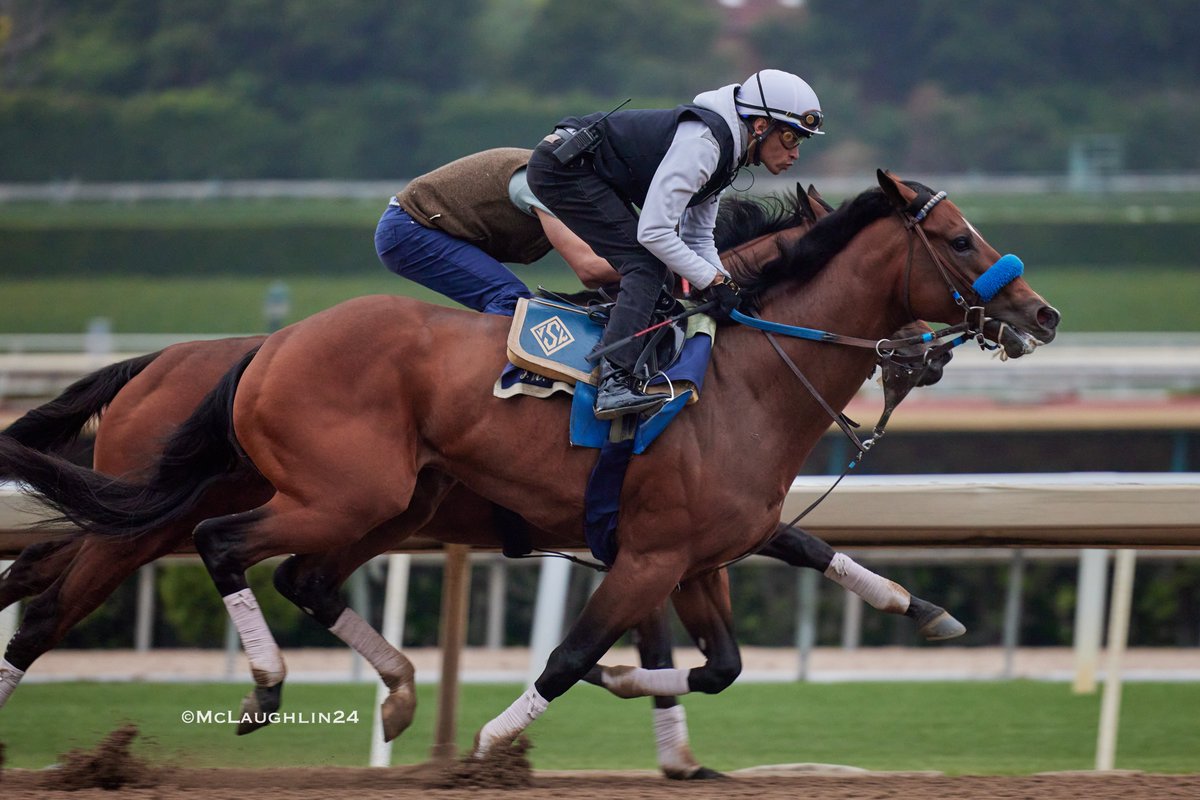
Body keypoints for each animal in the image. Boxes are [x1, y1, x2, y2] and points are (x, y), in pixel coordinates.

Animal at [0, 172, 1060, 762]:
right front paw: (497, 740)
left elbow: (724, 657)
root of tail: (266, 349)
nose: (1041, 314)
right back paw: (265, 686)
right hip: (319, 497)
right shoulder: (647, 555)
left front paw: (918, 607)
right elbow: (571, 654)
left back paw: (393, 690)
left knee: (287, 577)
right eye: (957, 238)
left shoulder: (699, 553)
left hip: (364, 507)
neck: (741, 370)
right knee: (168, 567)